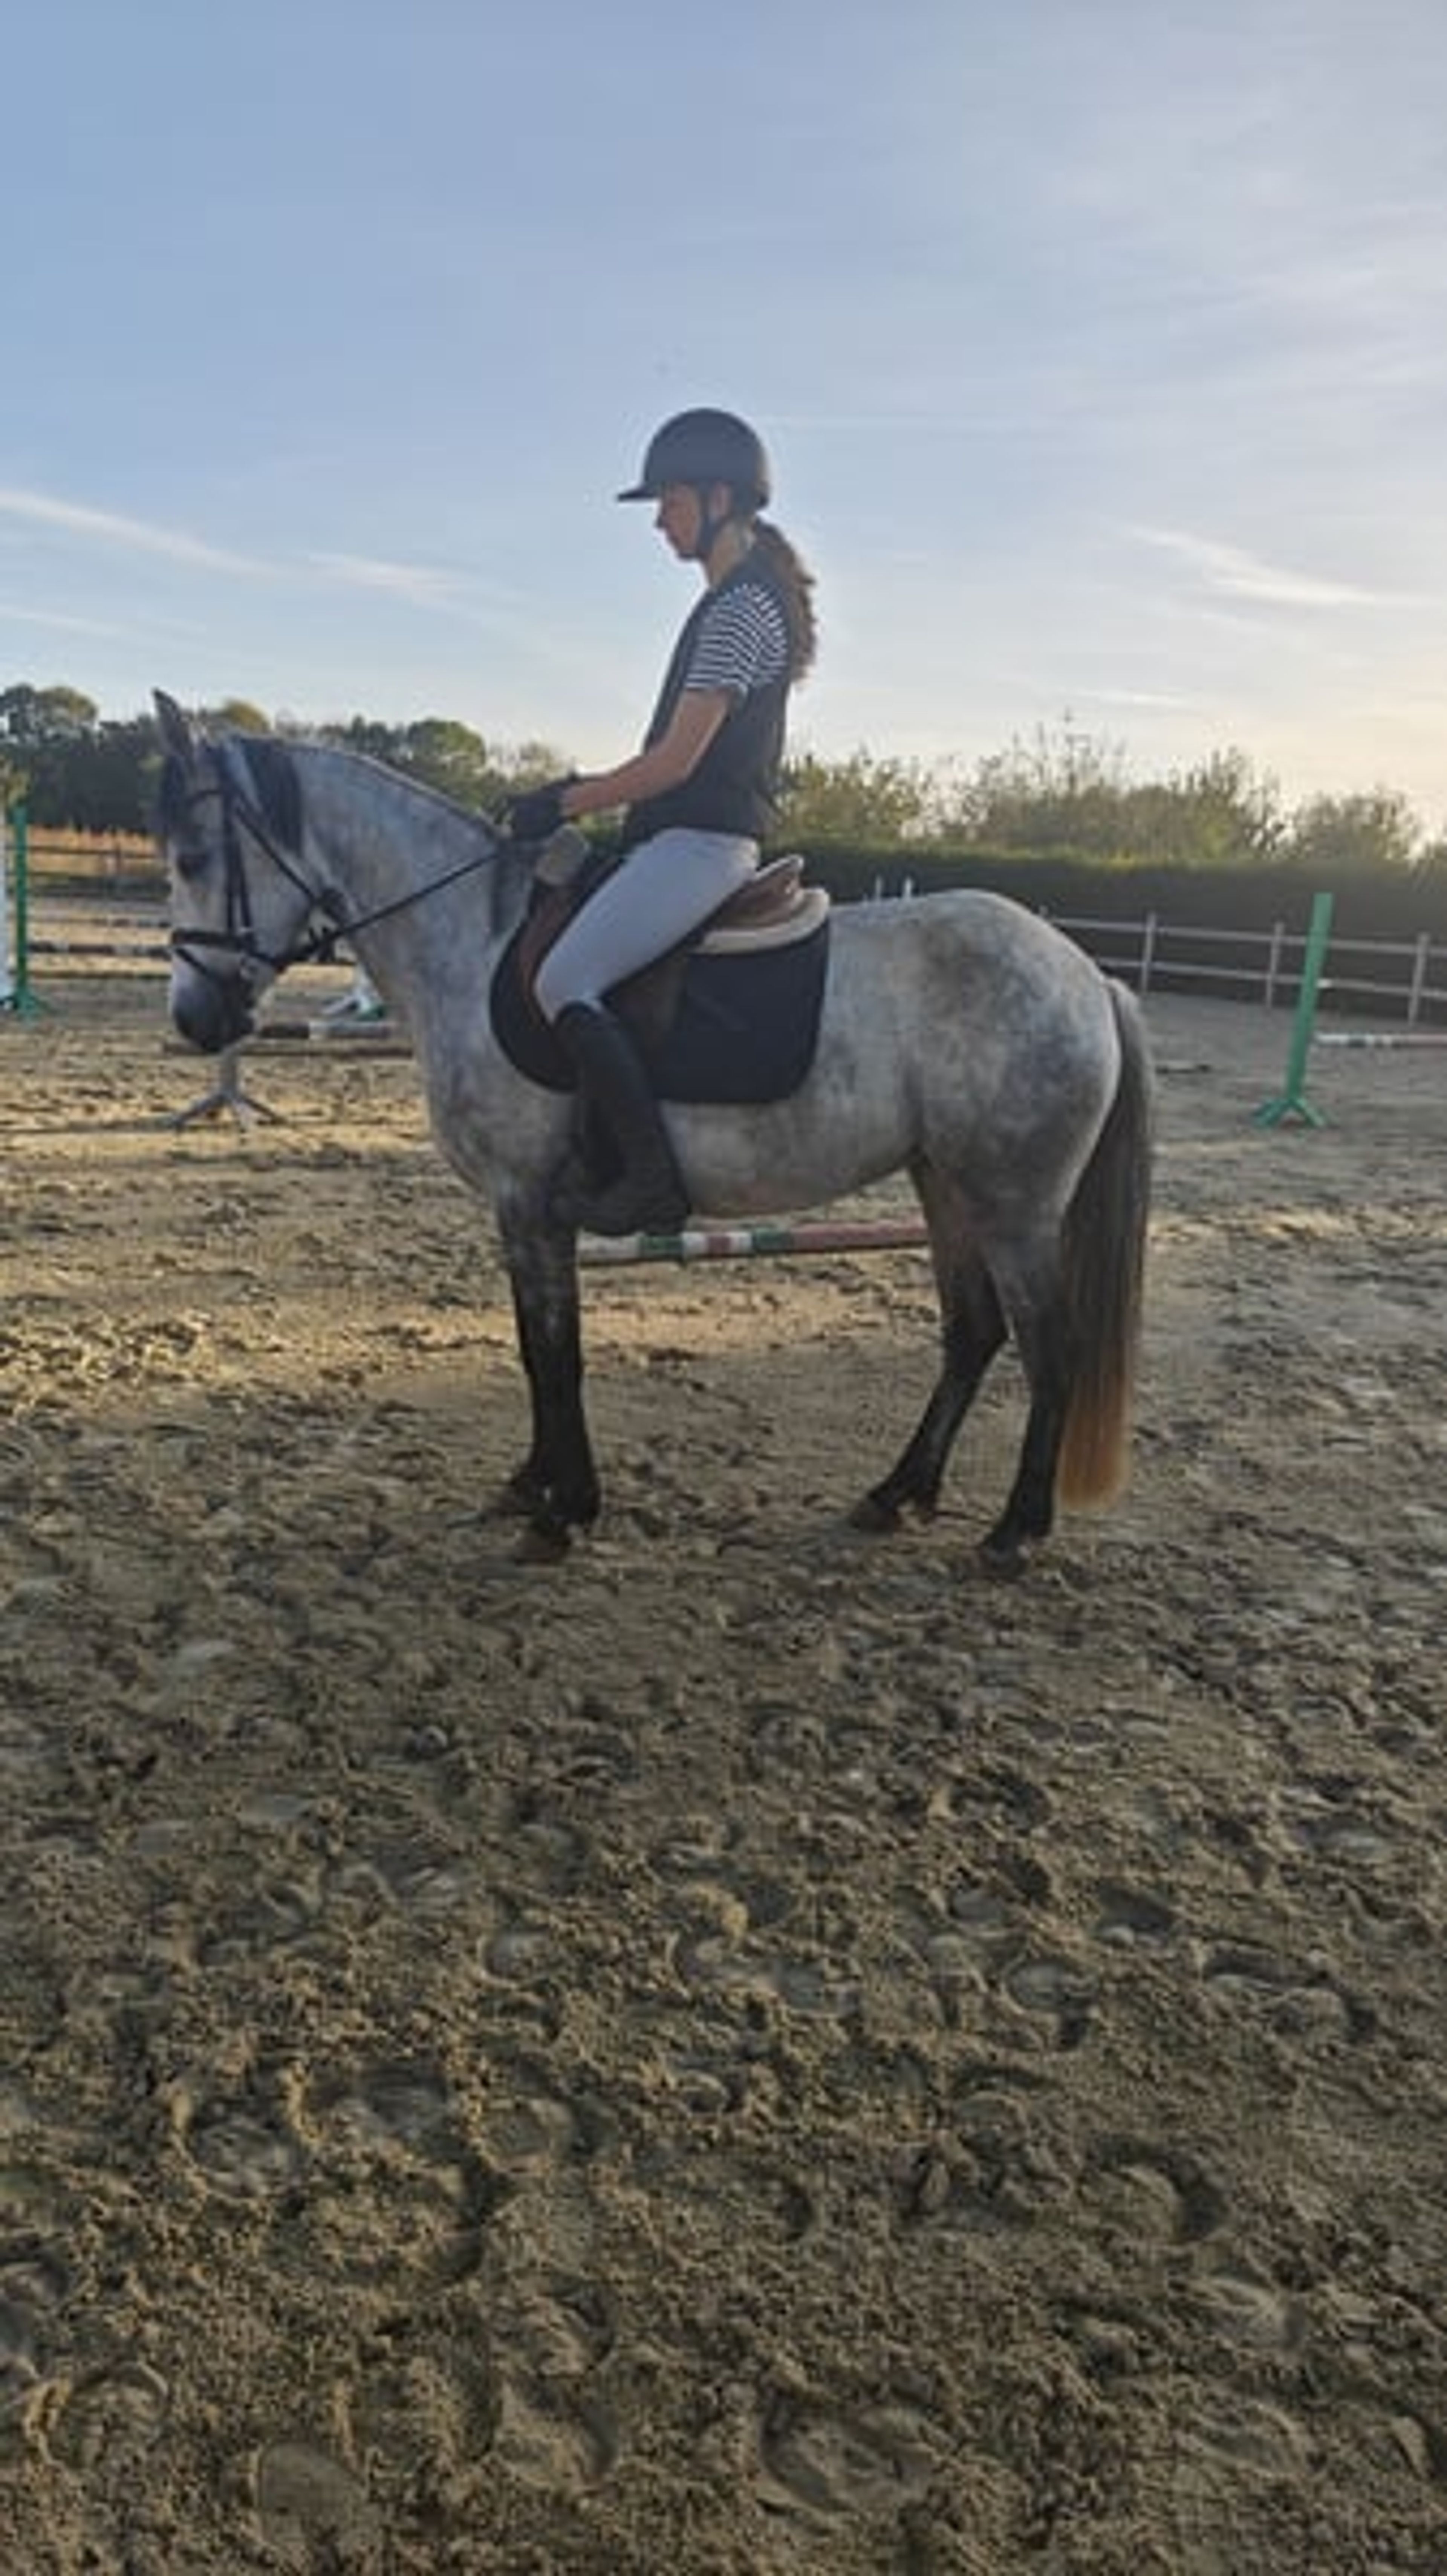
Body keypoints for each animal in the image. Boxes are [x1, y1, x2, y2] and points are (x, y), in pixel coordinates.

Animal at [153, 690, 1153, 1574]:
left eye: (195, 856)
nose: (197, 1021)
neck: (472, 939)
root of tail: (1086, 976)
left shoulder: (528, 1200)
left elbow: (555, 1353)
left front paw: (565, 1512)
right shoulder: (523, 1213)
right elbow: (536, 1350)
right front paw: (532, 1485)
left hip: (1014, 1203)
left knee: (1050, 1348)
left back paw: (1014, 1532)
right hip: (945, 1182)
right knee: (973, 1331)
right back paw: (897, 1493)